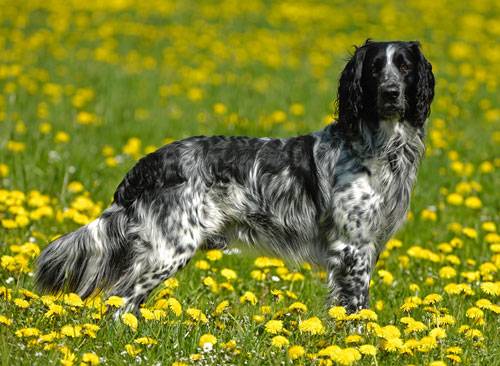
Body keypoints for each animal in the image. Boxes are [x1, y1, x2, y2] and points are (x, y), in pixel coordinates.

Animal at [35, 39, 434, 314]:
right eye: (374, 69)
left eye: (405, 67)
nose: (391, 93)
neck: (379, 147)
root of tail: (148, 163)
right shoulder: (352, 248)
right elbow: (354, 310)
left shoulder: (368, 246)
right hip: (168, 250)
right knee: (119, 303)